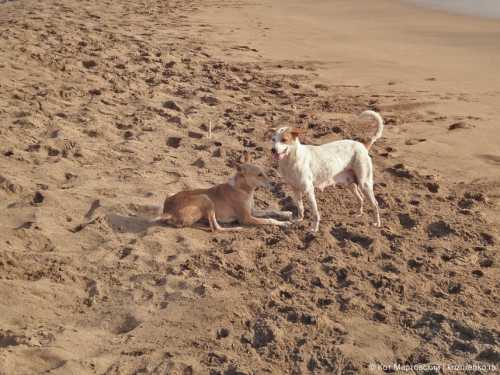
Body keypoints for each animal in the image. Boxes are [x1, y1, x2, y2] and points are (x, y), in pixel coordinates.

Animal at [160, 153, 292, 232]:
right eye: (259, 175)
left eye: (264, 172)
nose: (274, 184)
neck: (243, 189)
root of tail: (168, 211)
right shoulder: (246, 218)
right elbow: (269, 219)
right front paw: (284, 223)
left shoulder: (253, 211)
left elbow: (271, 210)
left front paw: (286, 213)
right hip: (205, 198)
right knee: (216, 228)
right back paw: (236, 228)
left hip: (170, 193)